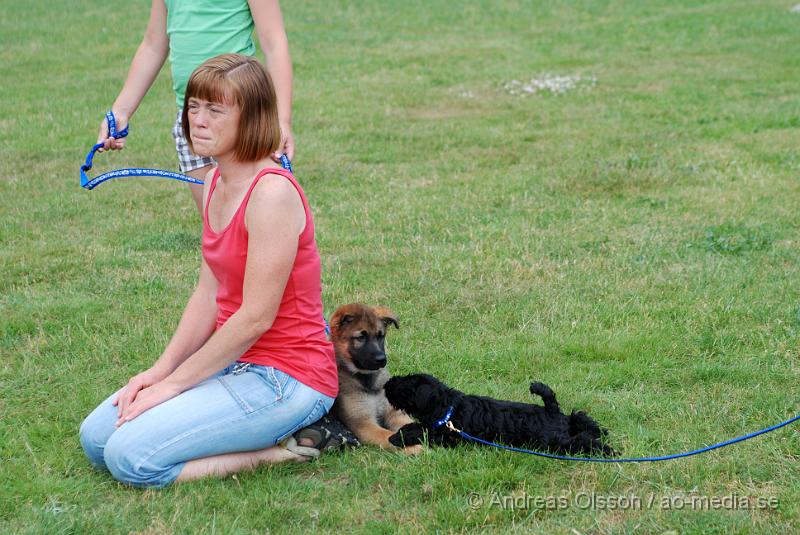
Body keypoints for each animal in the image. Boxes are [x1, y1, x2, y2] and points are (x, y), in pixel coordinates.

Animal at [330, 304, 422, 454]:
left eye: (381, 336)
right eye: (361, 337)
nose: (382, 359)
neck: (368, 380)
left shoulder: (394, 413)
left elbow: (408, 425)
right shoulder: (364, 424)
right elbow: (388, 435)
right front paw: (412, 447)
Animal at [384, 372, 616, 456]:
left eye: (406, 386)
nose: (386, 384)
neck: (447, 406)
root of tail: (550, 411)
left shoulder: (449, 436)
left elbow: (421, 430)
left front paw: (397, 437)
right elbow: (417, 426)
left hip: (555, 441)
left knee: (582, 440)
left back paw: (608, 450)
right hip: (565, 427)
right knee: (581, 418)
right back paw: (602, 433)